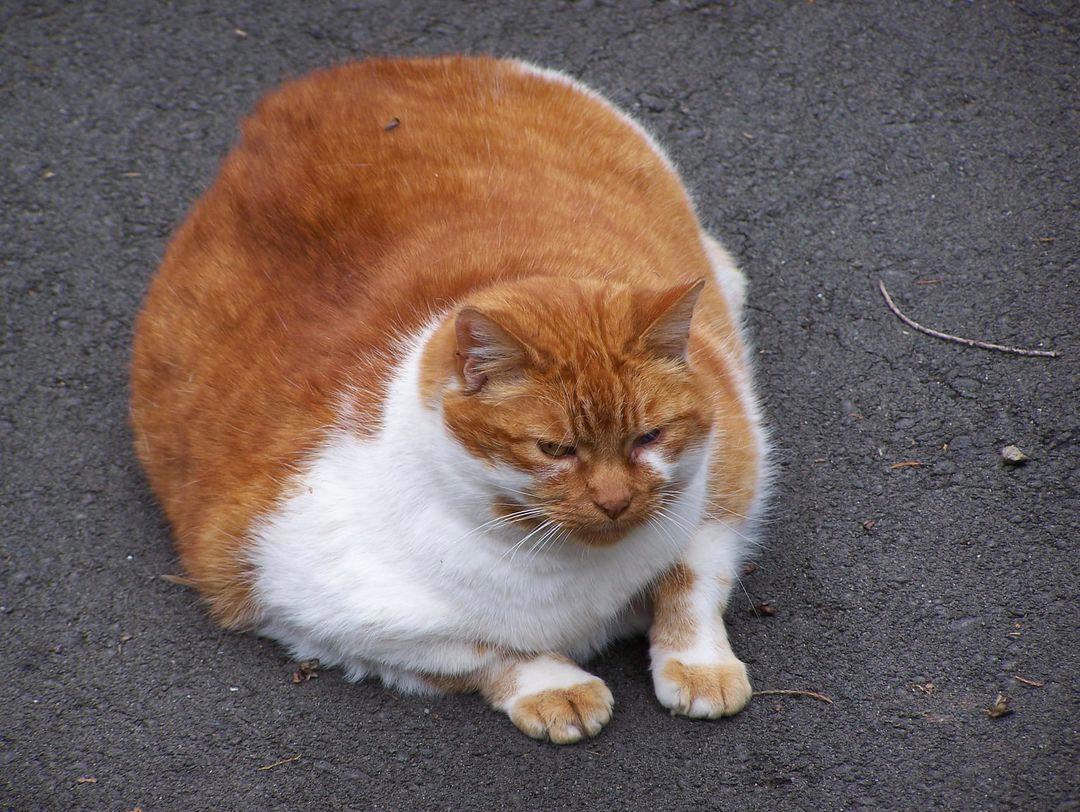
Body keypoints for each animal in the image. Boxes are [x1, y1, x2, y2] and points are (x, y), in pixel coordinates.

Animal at [131, 55, 769, 744]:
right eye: (554, 449)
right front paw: (554, 686)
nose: (615, 501)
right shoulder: (299, 599)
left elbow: (692, 580)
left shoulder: (732, 467)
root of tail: (325, 79)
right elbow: (482, 649)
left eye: (648, 438)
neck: (568, 569)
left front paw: (698, 666)